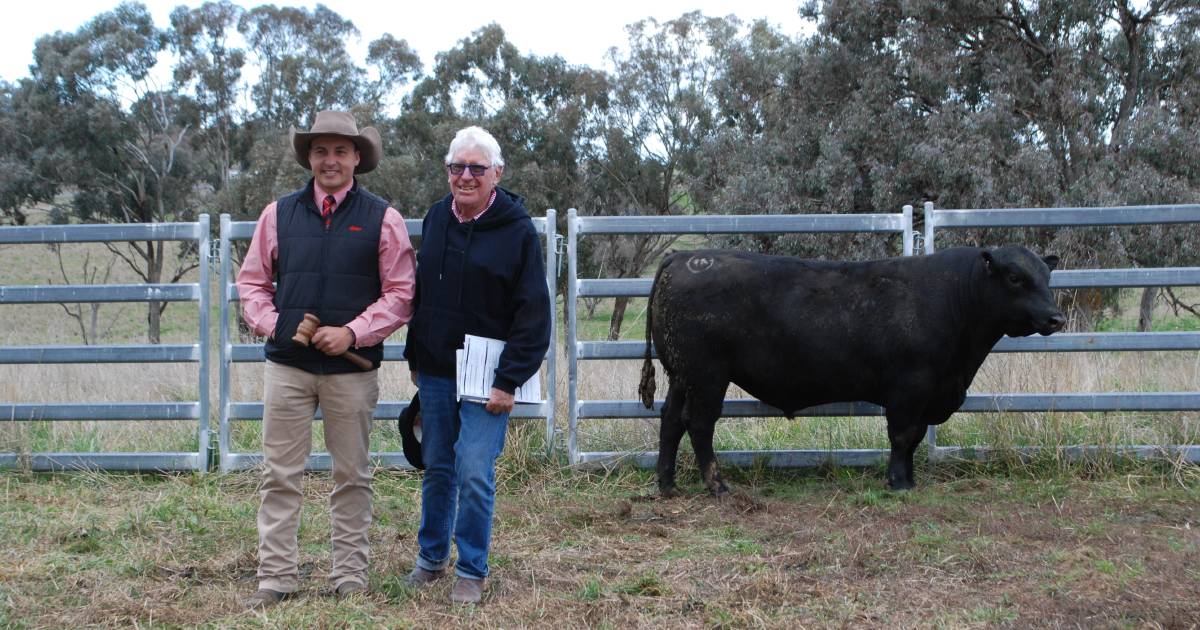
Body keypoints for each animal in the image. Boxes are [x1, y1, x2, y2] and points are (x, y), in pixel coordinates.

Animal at [638, 247, 1070, 496]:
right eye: (1015, 277)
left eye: (1048, 277)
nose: (1056, 317)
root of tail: (686, 257)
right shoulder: (910, 388)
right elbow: (903, 436)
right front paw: (899, 483)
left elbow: (913, 440)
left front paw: (910, 478)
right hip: (706, 375)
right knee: (698, 424)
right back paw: (718, 485)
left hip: (681, 374)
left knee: (670, 421)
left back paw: (667, 485)